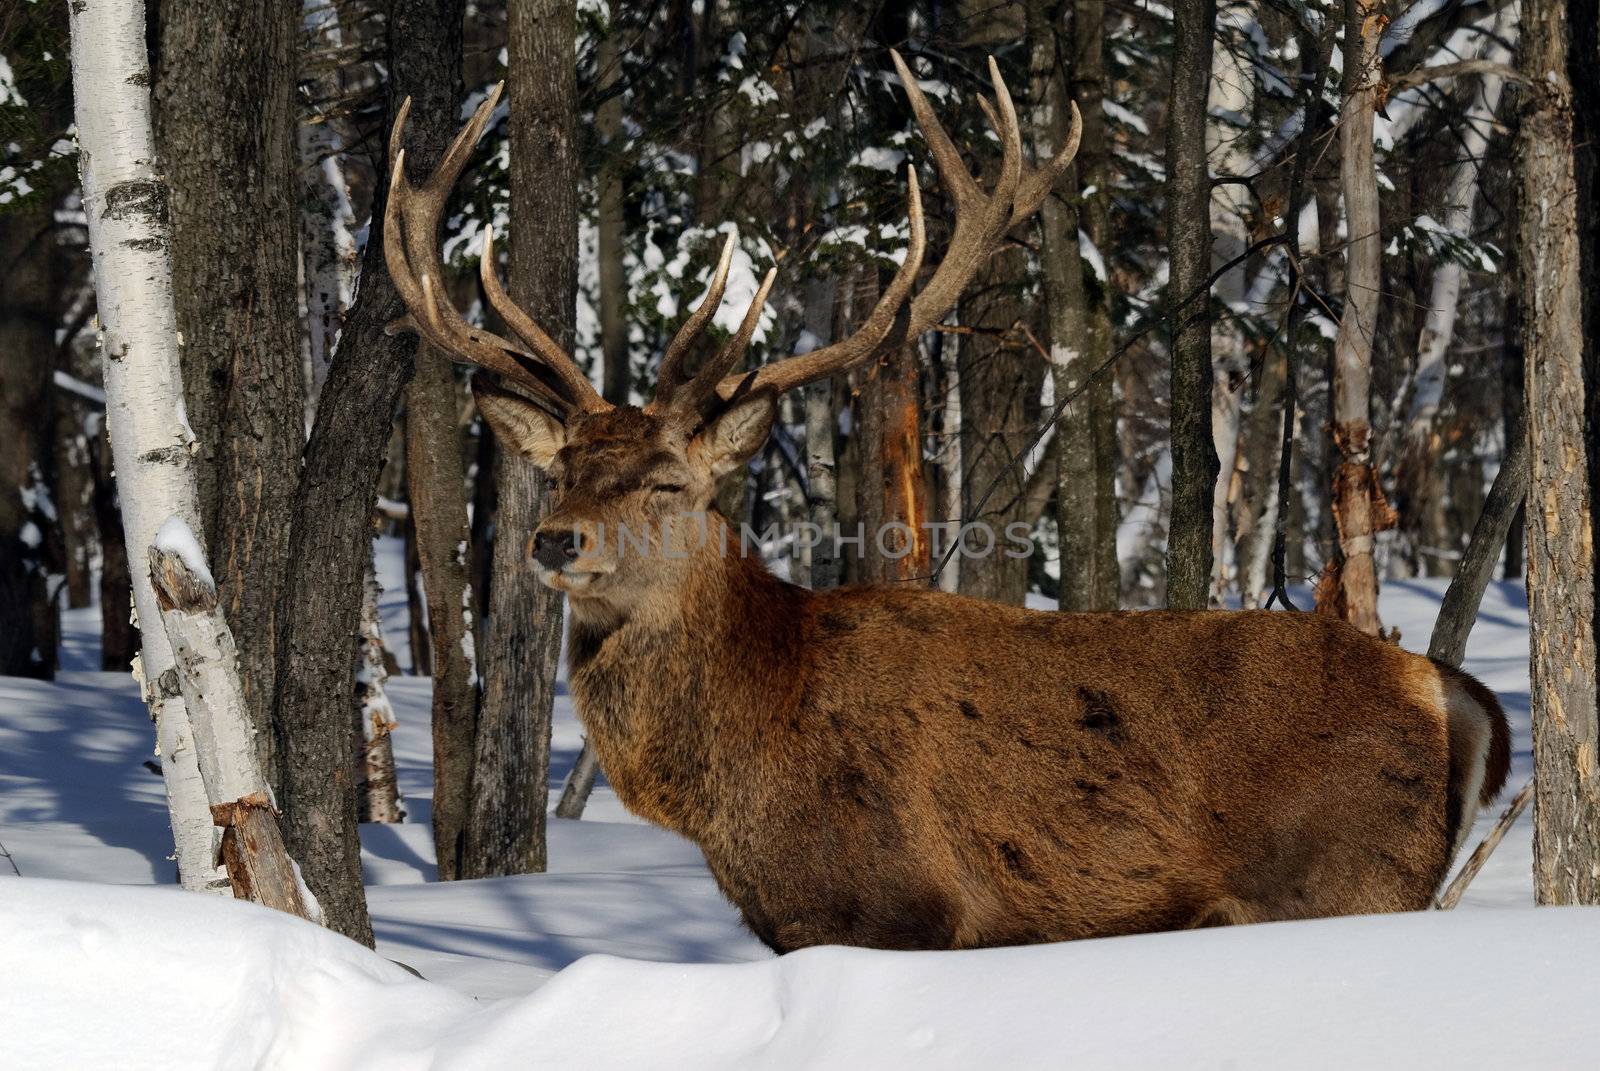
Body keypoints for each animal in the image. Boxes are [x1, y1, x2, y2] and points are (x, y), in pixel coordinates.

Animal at [380, 54, 1504, 947]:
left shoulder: (893, 904)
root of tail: (1444, 688)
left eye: (668, 480)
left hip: (1349, 878)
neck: (745, 752)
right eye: (558, 468)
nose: (554, 540)